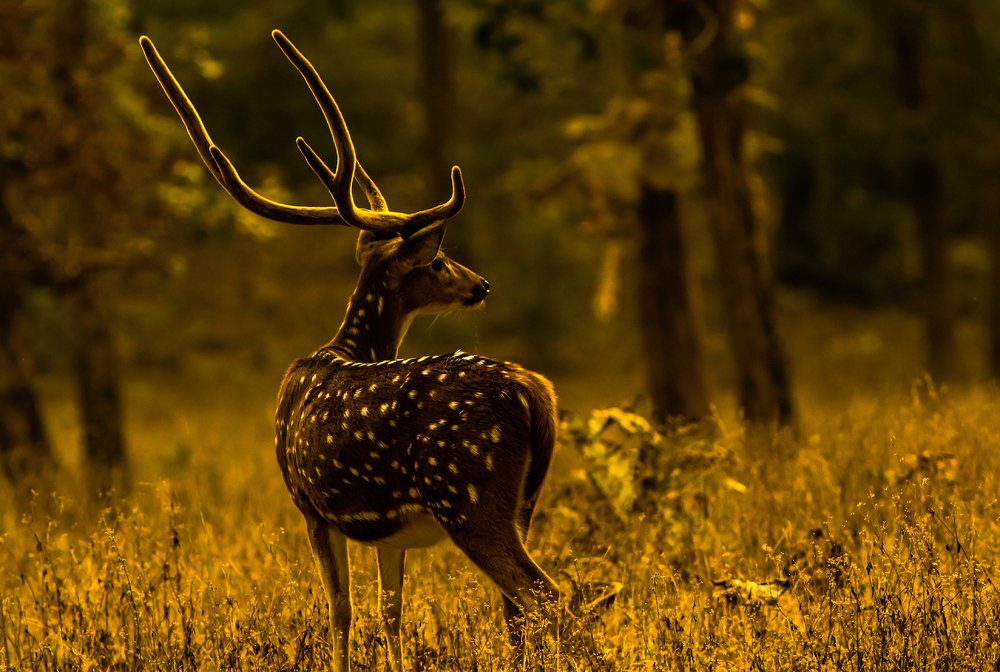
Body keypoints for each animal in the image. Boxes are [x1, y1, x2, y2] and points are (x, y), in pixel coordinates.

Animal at [140, 30, 561, 671]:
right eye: (439, 261)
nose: (481, 284)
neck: (343, 348)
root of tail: (535, 394)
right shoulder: (383, 526)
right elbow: (389, 613)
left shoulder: (310, 506)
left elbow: (340, 611)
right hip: (523, 501)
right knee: (519, 606)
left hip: (467, 493)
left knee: (546, 595)